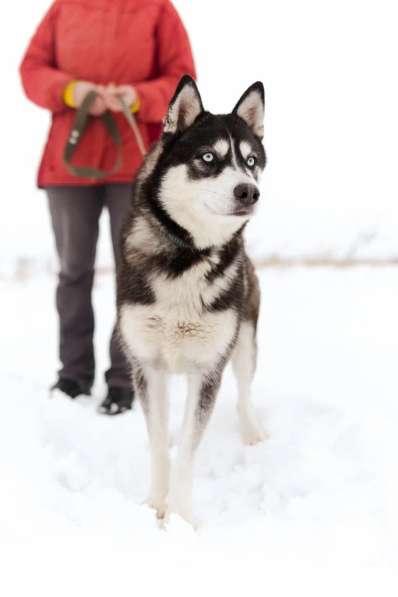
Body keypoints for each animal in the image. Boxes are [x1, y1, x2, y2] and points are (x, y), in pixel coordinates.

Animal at [118, 75, 268, 520]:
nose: (249, 192)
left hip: (244, 341)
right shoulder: (146, 364)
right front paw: (154, 506)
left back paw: (252, 432)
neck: (187, 258)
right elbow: (158, 447)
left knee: (244, 390)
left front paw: (181, 519)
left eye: (251, 161)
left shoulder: (207, 368)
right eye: (207, 157)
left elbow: (187, 452)